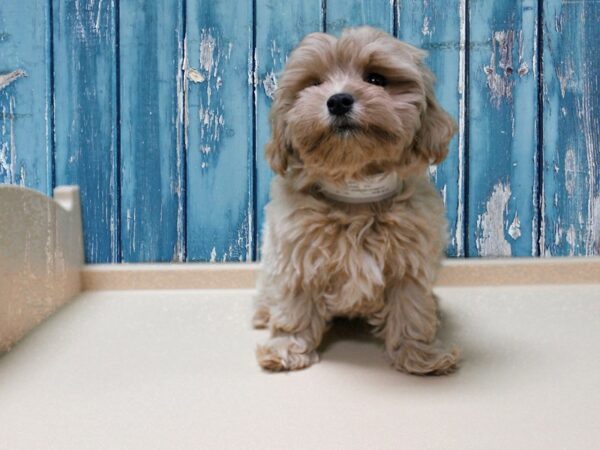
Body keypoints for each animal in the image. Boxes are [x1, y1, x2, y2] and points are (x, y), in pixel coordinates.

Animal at [254, 26, 460, 374]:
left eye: (376, 79)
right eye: (314, 83)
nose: (338, 100)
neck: (355, 189)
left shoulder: (409, 261)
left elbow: (411, 308)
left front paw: (418, 355)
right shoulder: (297, 253)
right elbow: (294, 304)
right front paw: (287, 347)